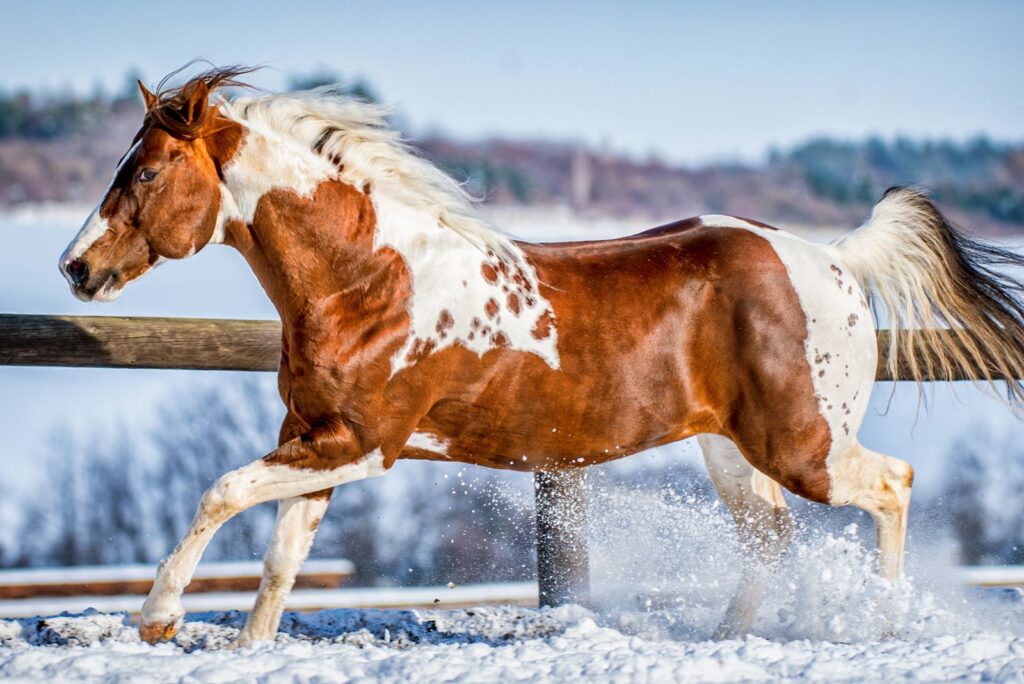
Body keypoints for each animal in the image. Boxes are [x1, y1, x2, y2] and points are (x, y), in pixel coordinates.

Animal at [58, 68, 1024, 647]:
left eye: (145, 173)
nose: (76, 267)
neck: (366, 279)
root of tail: (833, 258)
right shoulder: (320, 443)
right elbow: (278, 565)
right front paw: (246, 645)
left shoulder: (362, 445)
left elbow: (220, 492)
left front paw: (156, 619)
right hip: (732, 449)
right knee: (771, 533)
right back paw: (727, 637)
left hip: (805, 445)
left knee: (892, 483)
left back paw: (886, 623)